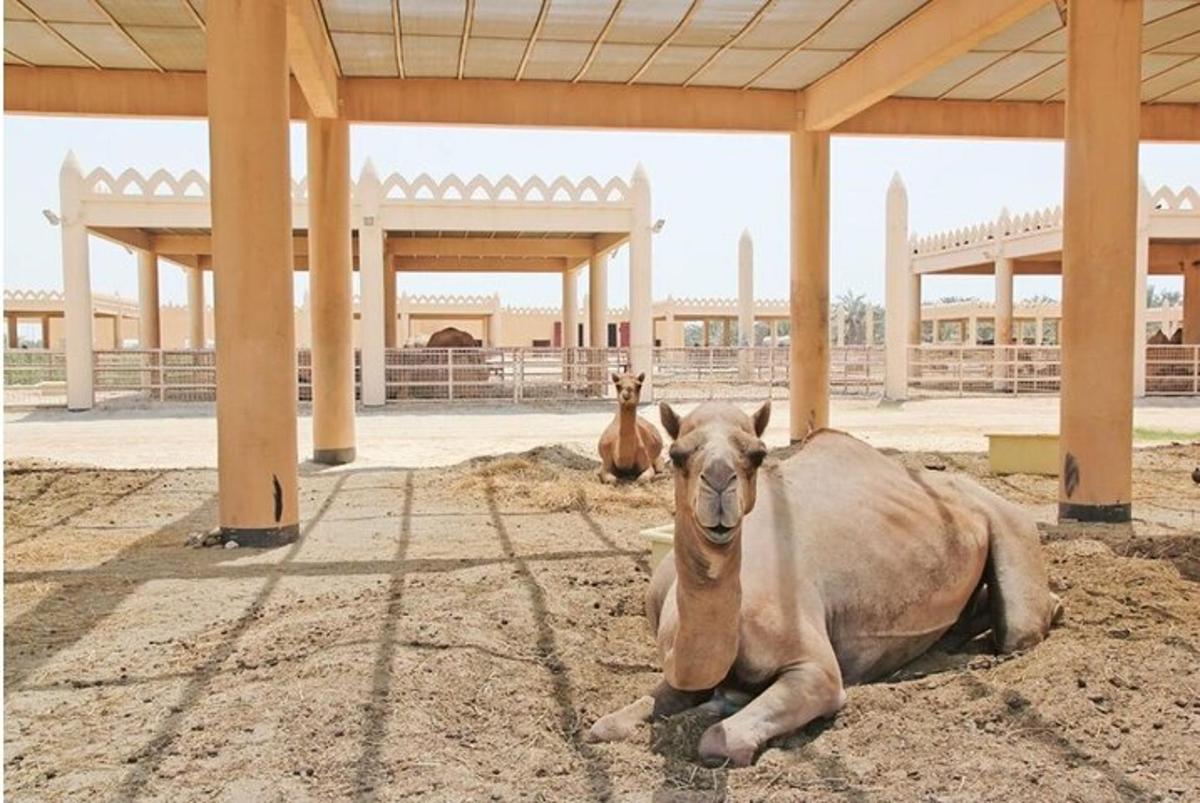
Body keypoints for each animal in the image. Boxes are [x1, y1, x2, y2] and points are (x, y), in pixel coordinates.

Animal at [590, 398, 1060, 763]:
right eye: (678, 455)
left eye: (757, 454)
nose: (720, 484)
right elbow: (606, 726)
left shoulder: (816, 672)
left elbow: (719, 740)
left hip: (1007, 519)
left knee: (1020, 628)